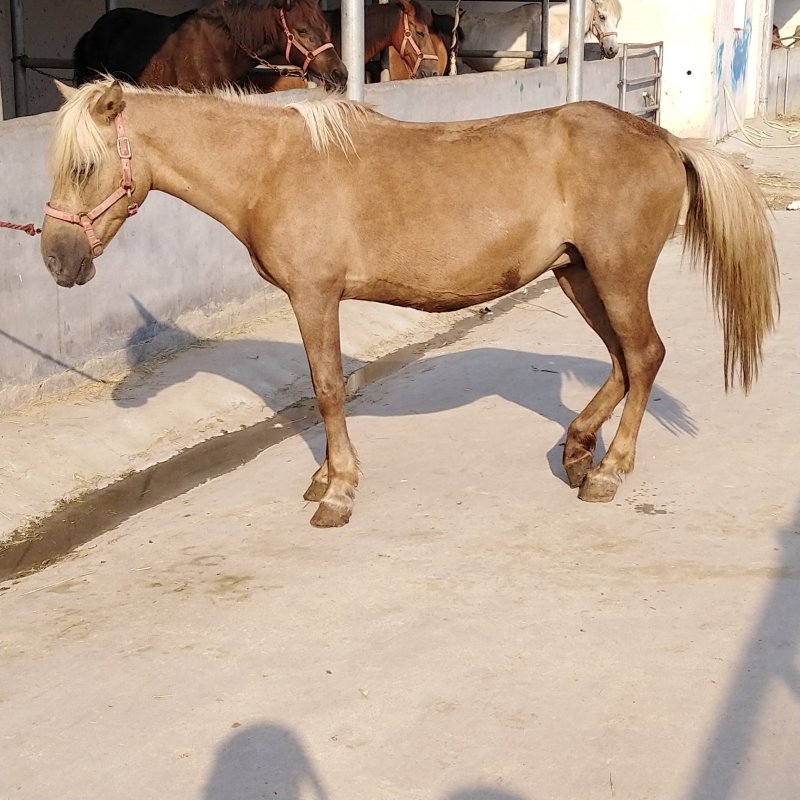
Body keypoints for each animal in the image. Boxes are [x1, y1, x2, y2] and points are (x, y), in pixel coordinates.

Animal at [40, 79, 779, 528]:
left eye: (84, 167)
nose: (56, 259)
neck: (274, 168)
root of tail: (667, 141)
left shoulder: (315, 296)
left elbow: (327, 388)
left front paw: (338, 489)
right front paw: (326, 476)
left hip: (617, 274)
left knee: (644, 355)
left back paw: (609, 472)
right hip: (580, 274)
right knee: (624, 361)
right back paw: (577, 451)